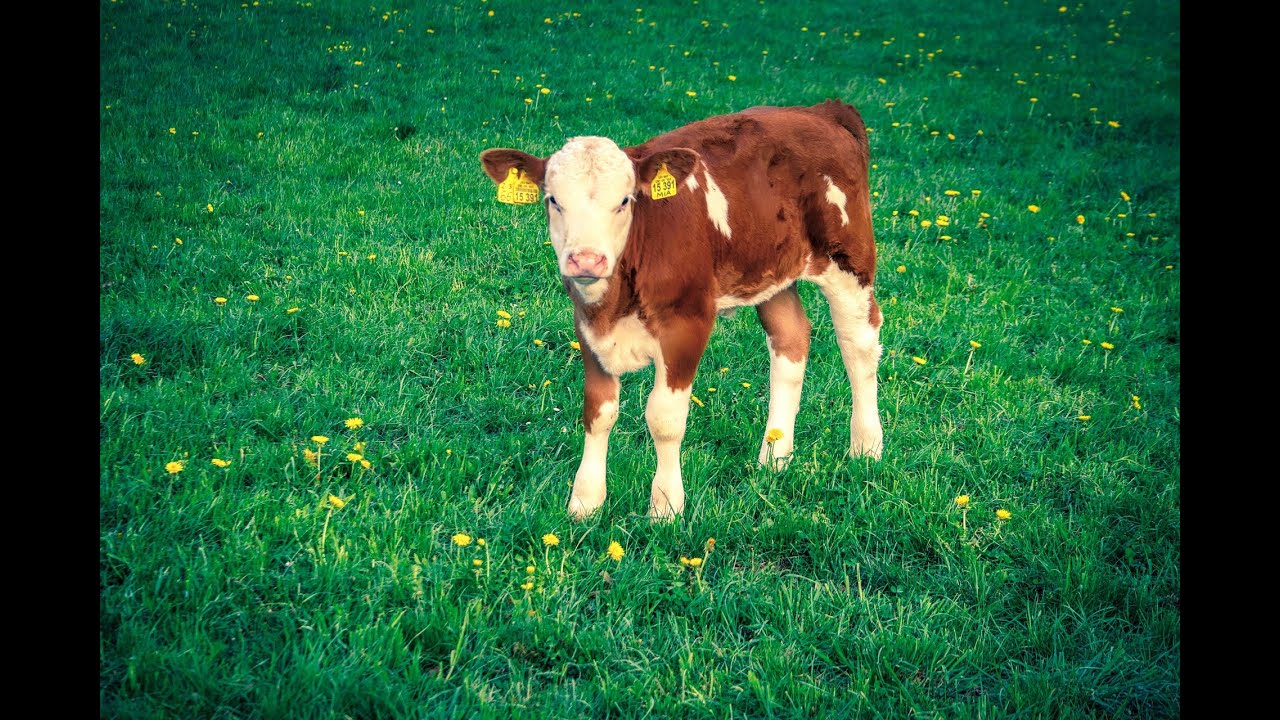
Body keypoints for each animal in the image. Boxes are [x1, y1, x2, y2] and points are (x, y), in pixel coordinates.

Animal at [479, 99, 883, 520]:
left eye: (624, 201)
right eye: (553, 200)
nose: (586, 260)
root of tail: (822, 110)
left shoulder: (688, 322)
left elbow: (665, 418)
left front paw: (666, 507)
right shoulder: (586, 324)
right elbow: (598, 411)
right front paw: (585, 504)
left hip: (849, 259)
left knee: (859, 347)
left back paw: (866, 448)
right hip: (771, 270)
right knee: (790, 342)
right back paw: (774, 458)